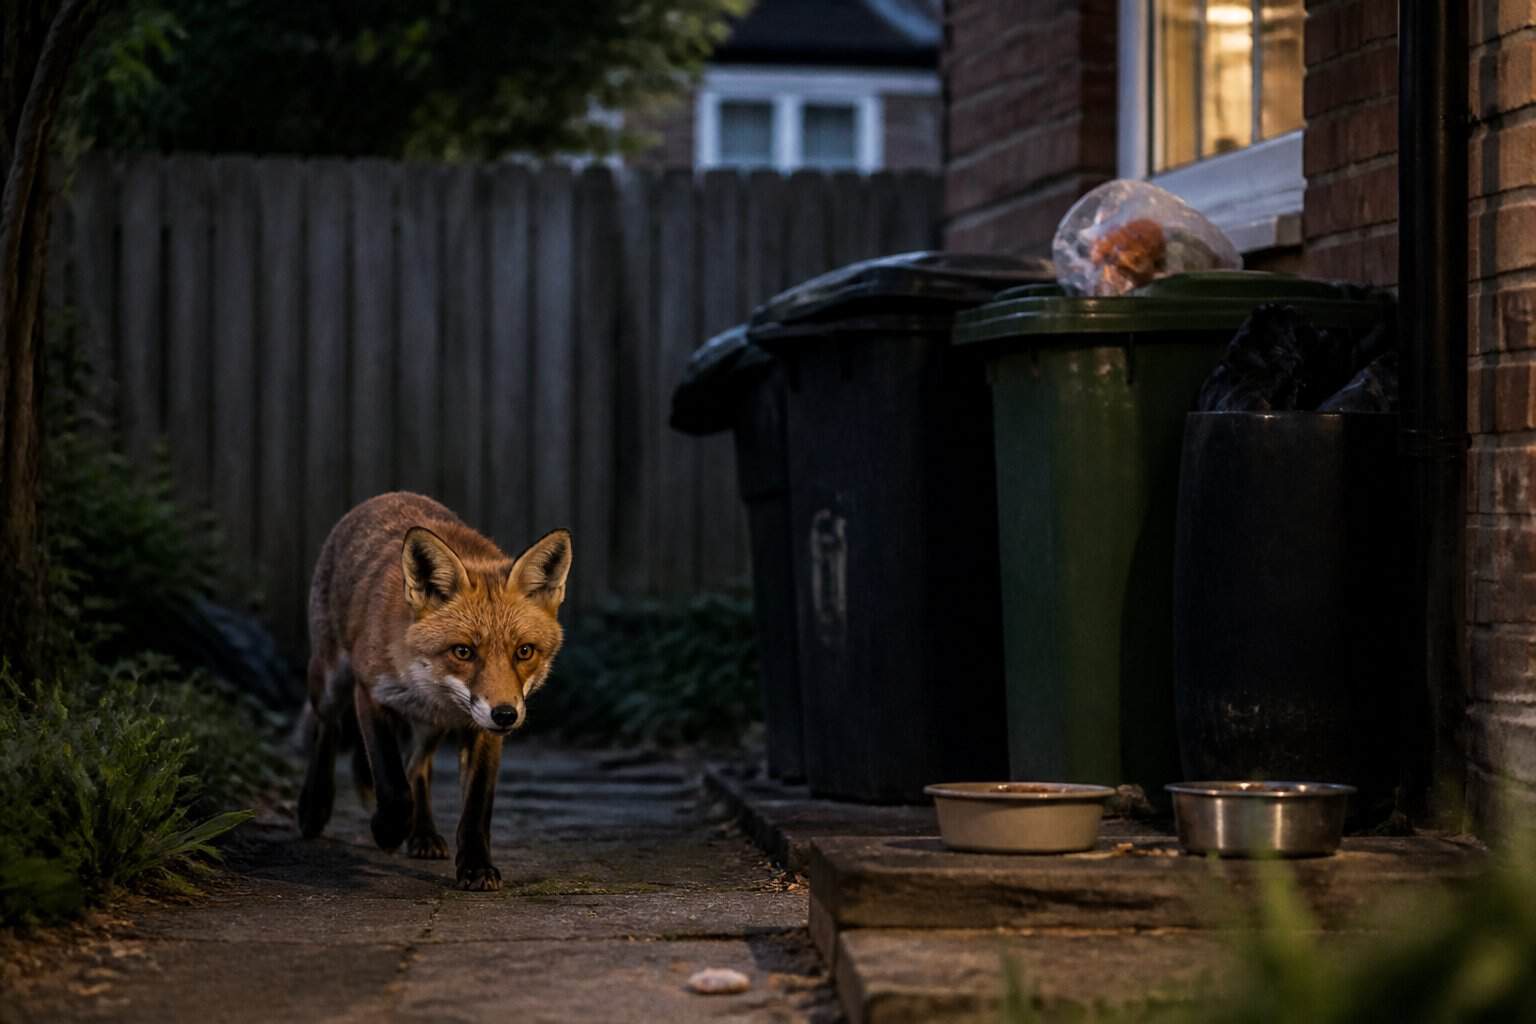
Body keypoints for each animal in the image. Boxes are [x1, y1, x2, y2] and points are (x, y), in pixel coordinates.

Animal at [296, 491, 573, 891]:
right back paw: (314, 807)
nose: (506, 715)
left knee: (418, 766)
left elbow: (475, 808)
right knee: (327, 729)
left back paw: (423, 834)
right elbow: (392, 784)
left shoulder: (480, 729)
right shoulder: (371, 695)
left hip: (431, 728)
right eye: (463, 652)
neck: (429, 685)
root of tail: (389, 496)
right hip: (331, 680)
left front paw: (475, 866)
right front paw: (387, 830)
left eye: (524, 651)